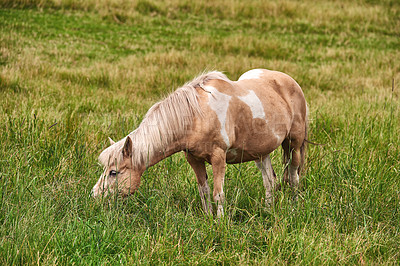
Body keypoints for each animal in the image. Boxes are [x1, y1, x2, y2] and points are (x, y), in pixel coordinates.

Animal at [92, 69, 308, 217]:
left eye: (114, 172)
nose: (94, 195)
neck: (197, 115)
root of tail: (289, 81)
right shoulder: (194, 159)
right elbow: (204, 191)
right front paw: (208, 218)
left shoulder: (219, 157)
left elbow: (218, 193)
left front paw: (220, 222)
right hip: (261, 153)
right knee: (269, 181)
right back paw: (267, 211)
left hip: (294, 144)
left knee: (293, 176)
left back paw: (294, 207)